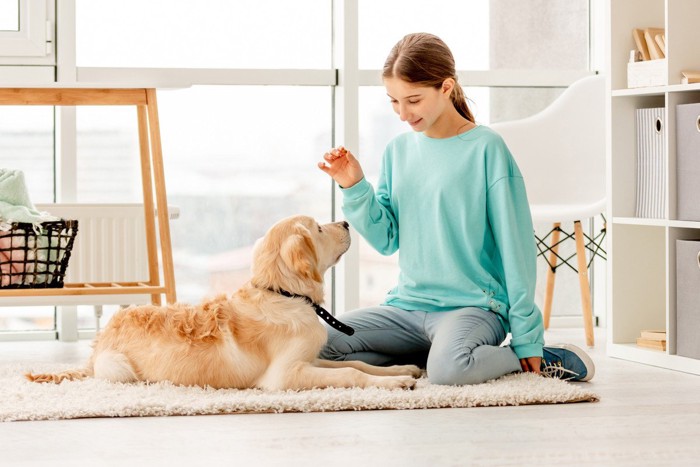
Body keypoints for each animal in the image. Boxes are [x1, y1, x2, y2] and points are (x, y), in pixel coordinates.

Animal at [26, 216, 422, 392]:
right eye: (321, 230)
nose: (346, 221)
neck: (282, 293)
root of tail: (98, 344)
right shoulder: (284, 375)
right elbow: (351, 373)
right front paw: (398, 383)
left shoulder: (309, 358)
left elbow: (356, 363)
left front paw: (401, 369)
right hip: (116, 366)